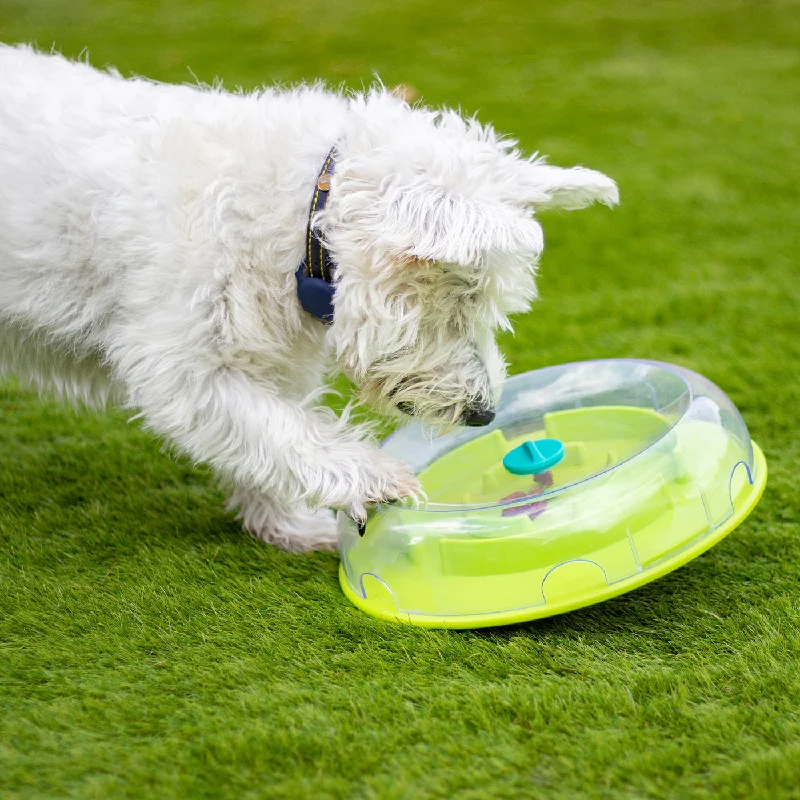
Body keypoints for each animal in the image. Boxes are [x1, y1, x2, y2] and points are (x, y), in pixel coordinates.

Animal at [0, 45, 620, 552]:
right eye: (462, 301)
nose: (484, 413)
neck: (299, 225)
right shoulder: (182, 365)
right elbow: (285, 434)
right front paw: (377, 481)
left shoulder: (264, 358)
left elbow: (270, 441)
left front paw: (289, 526)